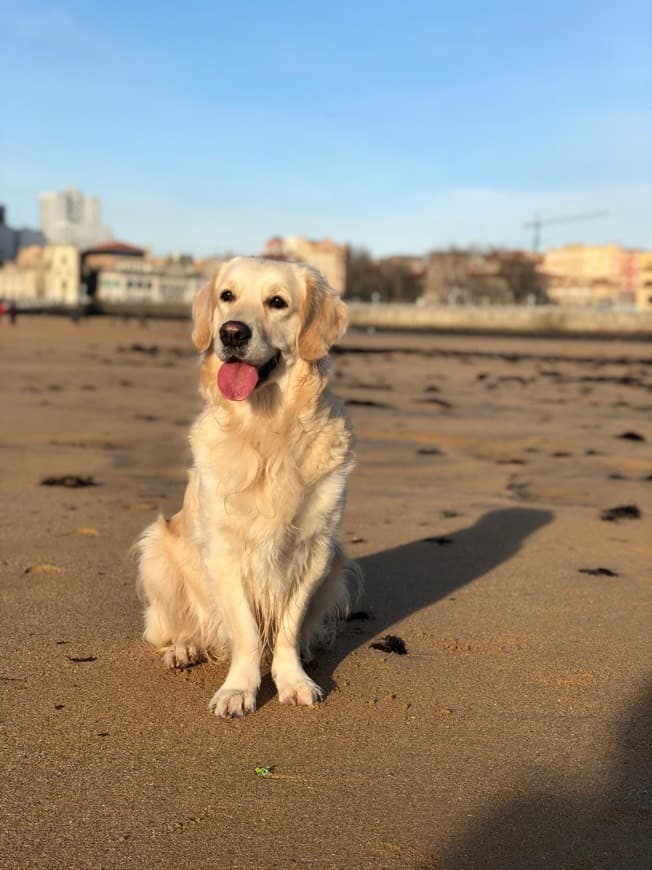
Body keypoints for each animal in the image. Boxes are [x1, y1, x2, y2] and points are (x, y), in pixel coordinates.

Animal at [136, 255, 356, 720]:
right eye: (227, 296)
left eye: (277, 302)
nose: (232, 332)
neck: (266, 431)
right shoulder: (224, 552)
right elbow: (247, 632)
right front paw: (238, 690)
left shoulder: (315, 550)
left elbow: (288, 626)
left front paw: (292, 680)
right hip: (157, 550)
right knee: (179, 627)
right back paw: (183, 648)